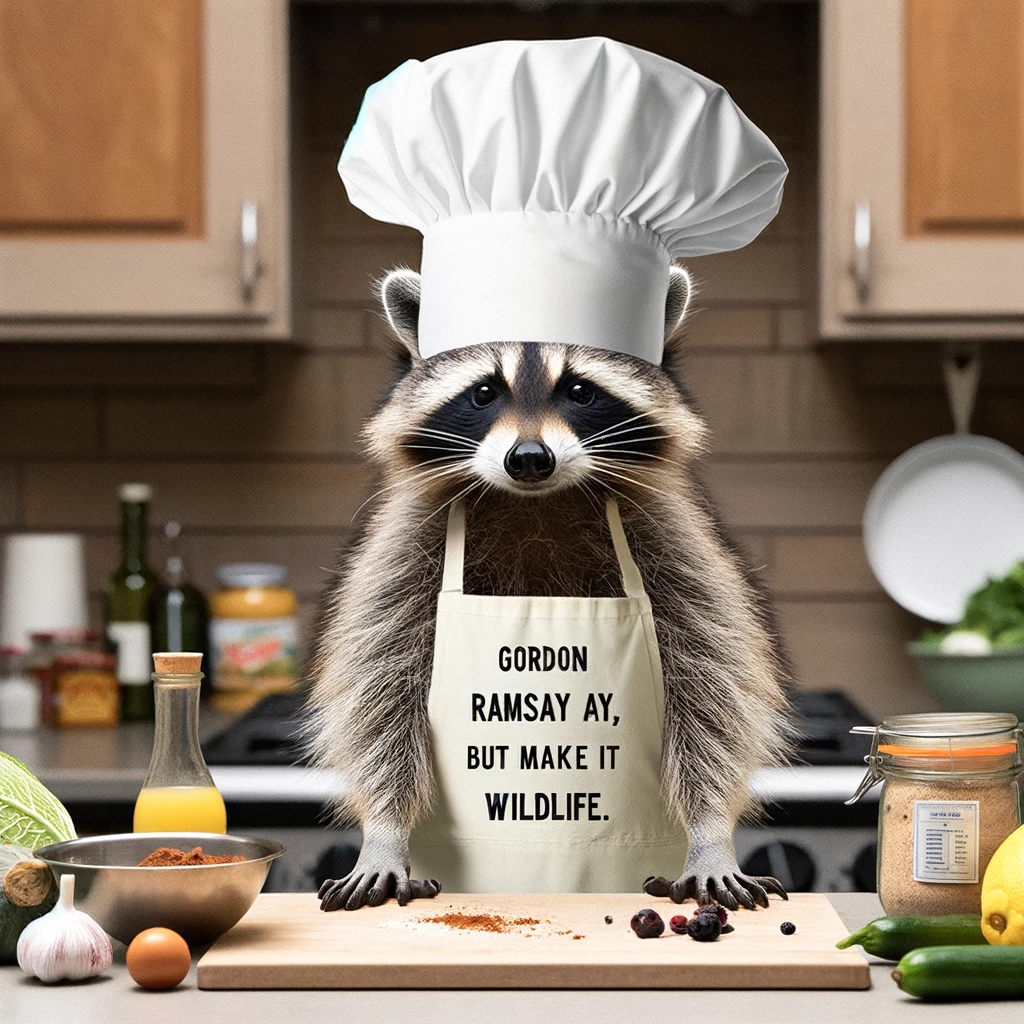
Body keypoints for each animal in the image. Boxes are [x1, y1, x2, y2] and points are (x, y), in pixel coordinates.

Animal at [309, 264, 790, 913]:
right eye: (483, 392)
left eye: (580, 390)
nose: (530, 459)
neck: (534, 502)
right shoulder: (409, 548)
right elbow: (380, 693)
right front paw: (383, 831)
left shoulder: (667, 541)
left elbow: (711, 689)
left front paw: (711, 832)